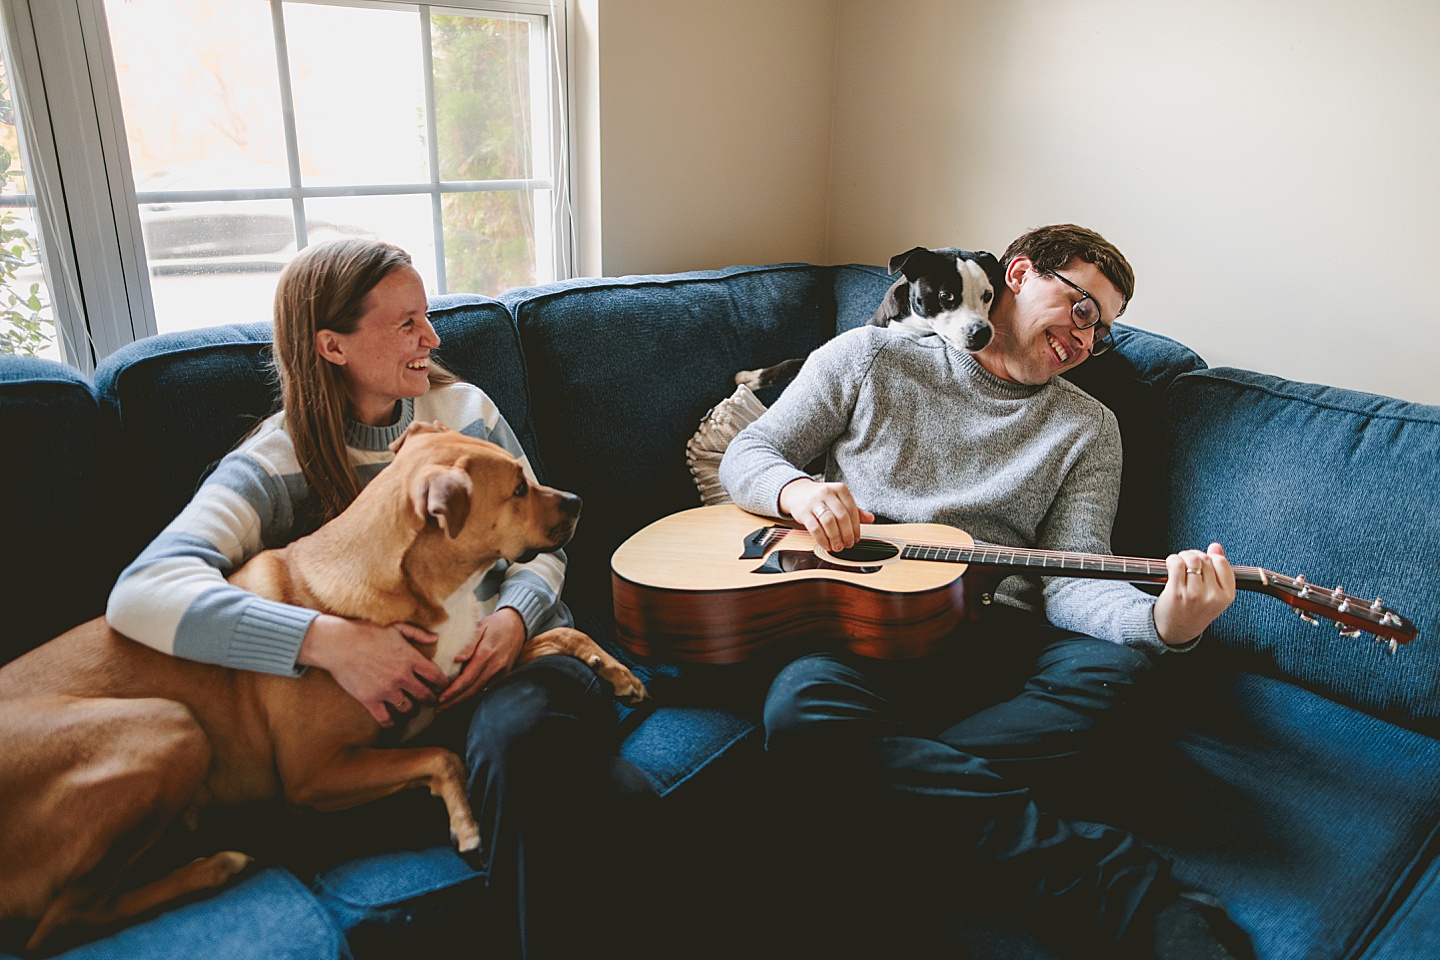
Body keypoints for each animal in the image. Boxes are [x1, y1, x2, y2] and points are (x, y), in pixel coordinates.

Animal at [0, 423, 648, 955]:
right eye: (516, 489)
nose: (578, 501)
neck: (418, 586)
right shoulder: (314, 774)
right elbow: (441, 754)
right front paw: (465, 822)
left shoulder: (457, 678)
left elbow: (557, 634)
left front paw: (617, 672)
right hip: (169, 726)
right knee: (59, 922)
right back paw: (214, 867)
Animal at [731, 247, 1002, 391]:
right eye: (946, 296)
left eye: (988, 295)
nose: (983, 333)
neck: (908, 325)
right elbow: (796, 361)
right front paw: (751, 377)